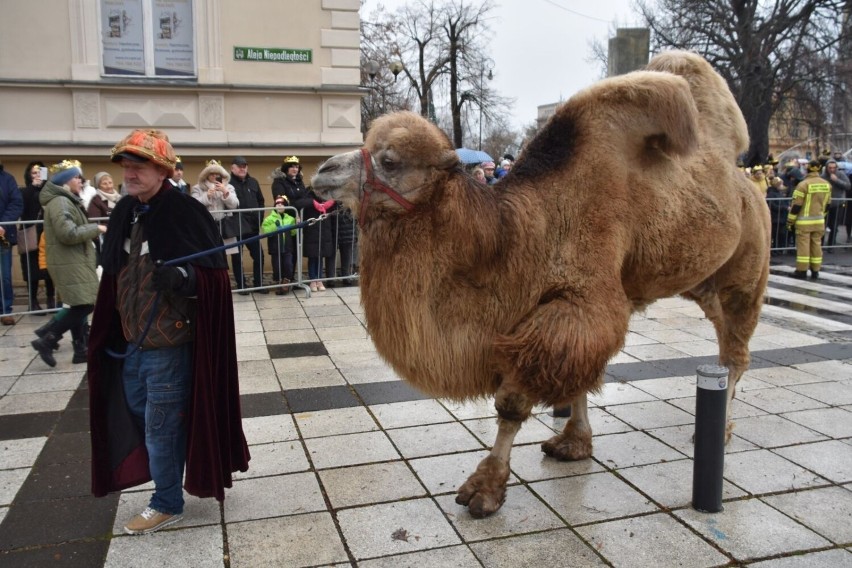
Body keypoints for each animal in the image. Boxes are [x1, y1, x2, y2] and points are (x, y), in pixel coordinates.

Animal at [310, 52, 768, 520]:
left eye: (390, 161)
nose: (323, 170)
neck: (520, 233)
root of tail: (750, 185)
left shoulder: (582, 305)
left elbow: (514, 401)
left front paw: (485, 487)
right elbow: (580, 377)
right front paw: (574, 443)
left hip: (745, 275)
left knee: (735, 353)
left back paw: (721, 429)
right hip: (704, 283)